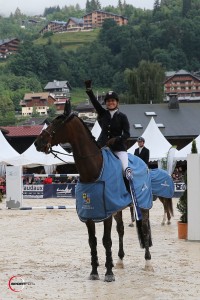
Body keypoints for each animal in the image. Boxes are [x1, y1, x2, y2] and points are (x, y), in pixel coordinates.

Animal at [34, 101, 153, 282]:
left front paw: (109, 273)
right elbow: (93, 241)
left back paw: (147, 263)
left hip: (143, 206)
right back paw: (120, 260)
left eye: (57, 122)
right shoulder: (90, 213)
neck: (93, 169)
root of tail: (143, 164)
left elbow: (106, 240)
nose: (37, 143)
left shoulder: (106, 213)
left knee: (145, 230)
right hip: (119, 209)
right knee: (121, 230)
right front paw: (95, 271)